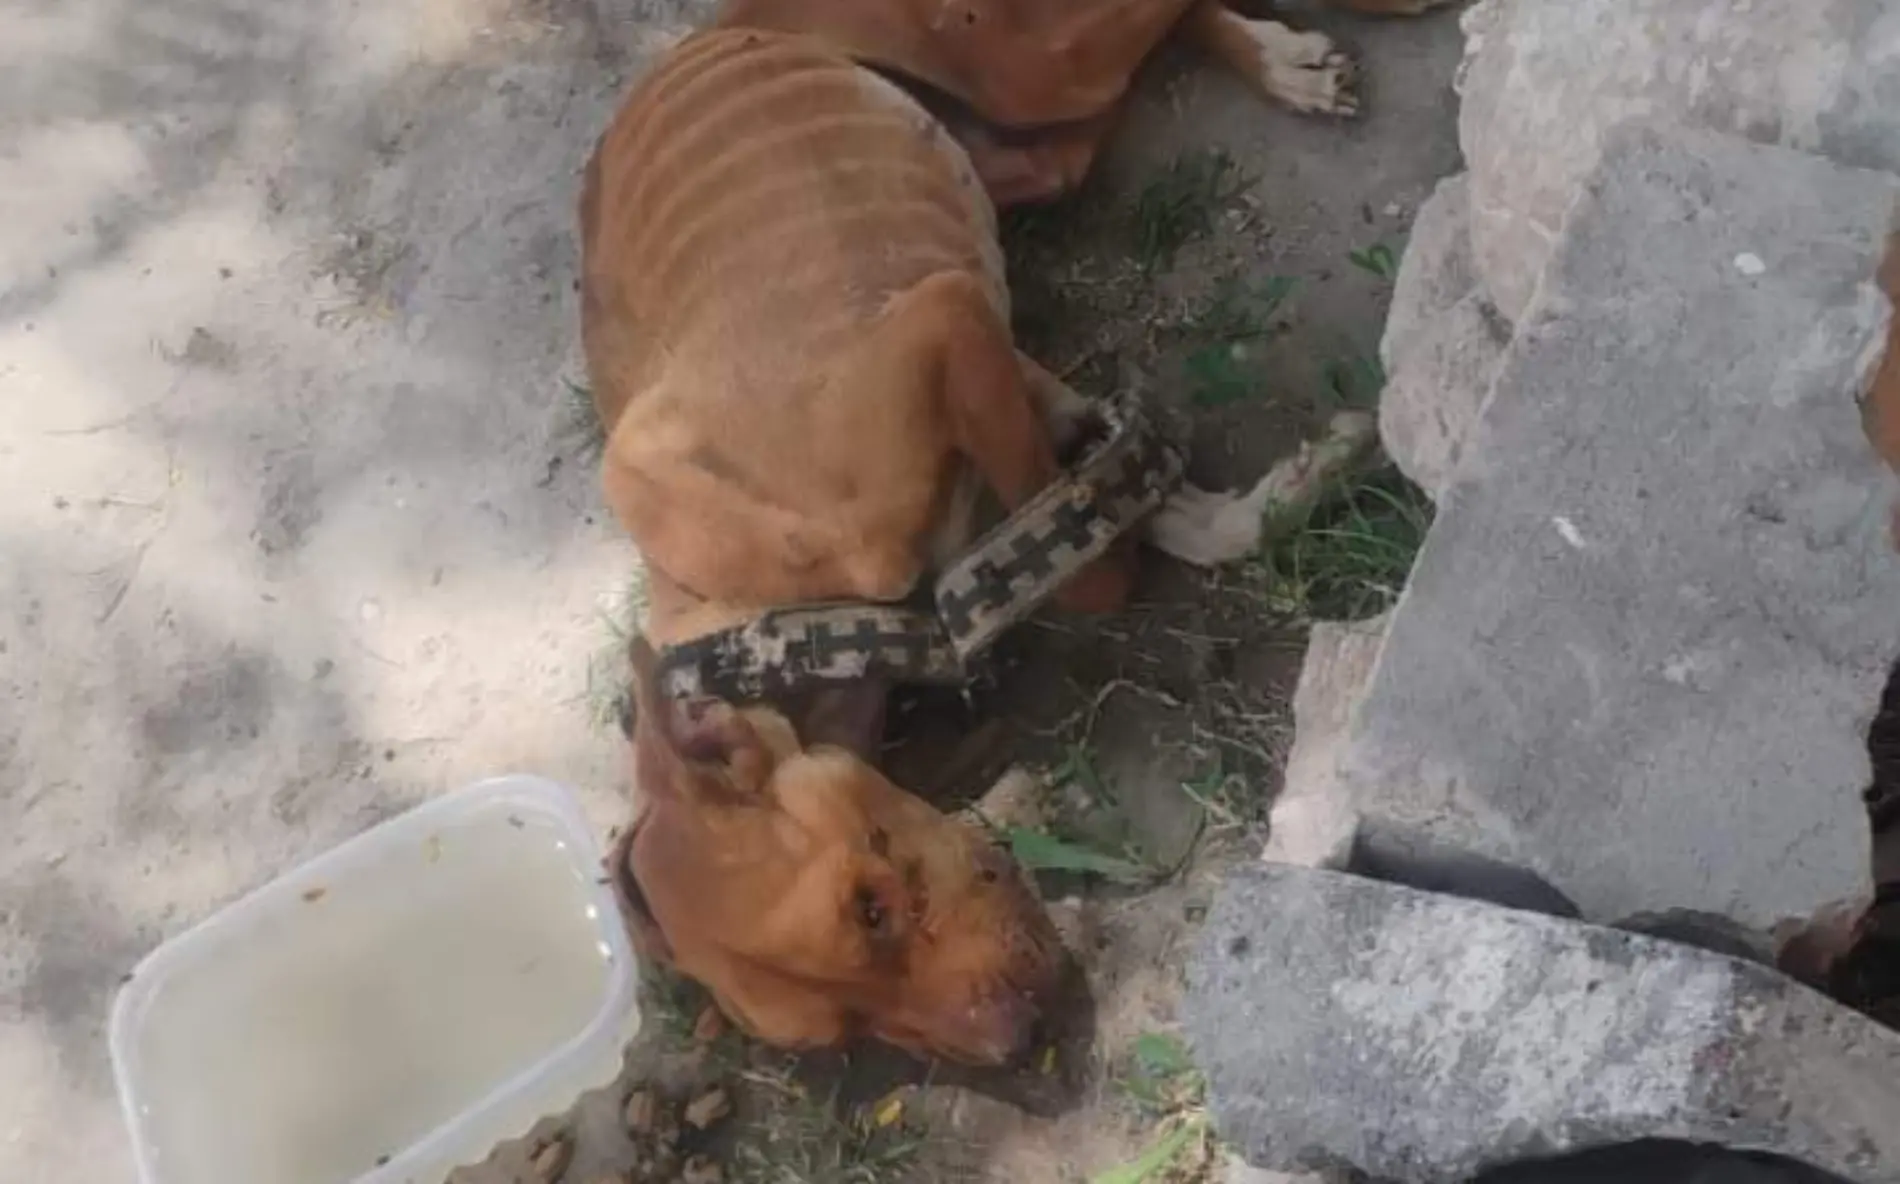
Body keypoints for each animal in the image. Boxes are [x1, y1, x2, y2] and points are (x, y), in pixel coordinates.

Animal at [585, 0, 1459, 1071]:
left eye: (869, 908)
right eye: (843, 1029)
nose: (1021, 1041)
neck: (763, 625)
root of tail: (721, 25)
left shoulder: (942, 318)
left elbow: (1094, 573)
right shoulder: (1009, 374)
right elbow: (1125, 511)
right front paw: (1280, 492)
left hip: (1026, 66)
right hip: (1034, 141)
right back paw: (1280, 58)